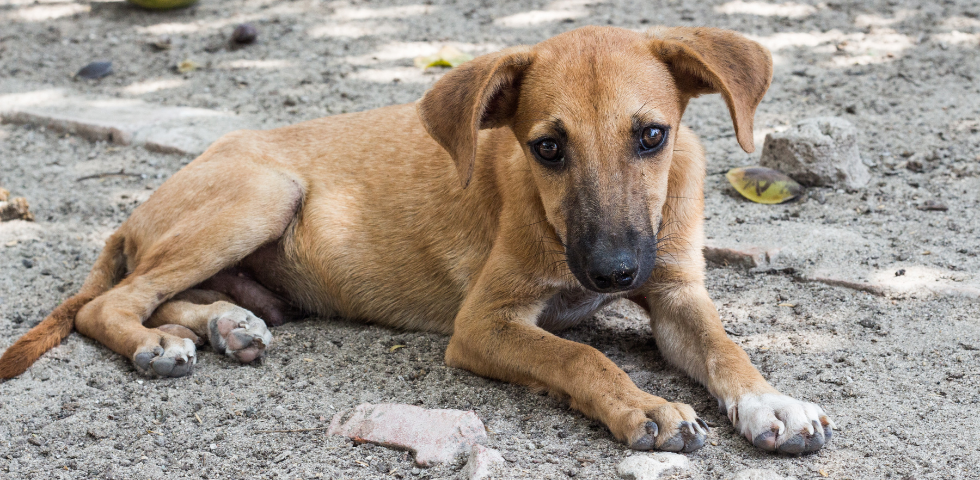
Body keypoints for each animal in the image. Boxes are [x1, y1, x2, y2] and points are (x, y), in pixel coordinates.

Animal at [3, 25, 840, 454]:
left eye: (653, 136)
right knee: (110, 303)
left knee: (174, 295)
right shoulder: (485, 324)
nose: (612, 272)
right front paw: (648, 408)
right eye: (547, 148)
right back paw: (159, 343)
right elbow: (581, 356)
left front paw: (772, 402)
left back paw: (227, 325)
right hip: (263, 192)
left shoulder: (674, 293)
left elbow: (727, 348)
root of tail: (135, 212)